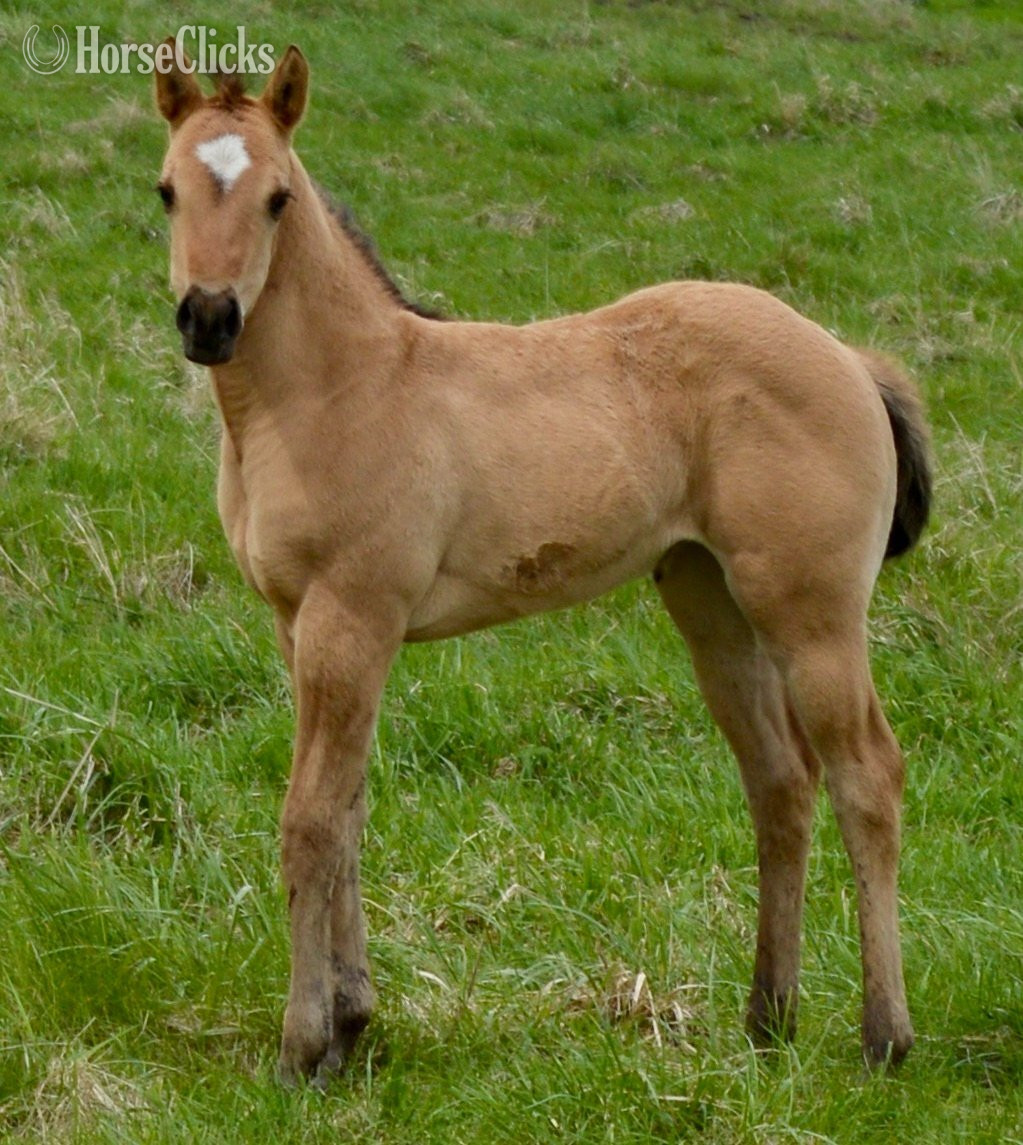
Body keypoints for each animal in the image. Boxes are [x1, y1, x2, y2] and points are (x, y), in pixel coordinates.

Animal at [153, 43, 931, 1084]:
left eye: (277, 198)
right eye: (166, 191)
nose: (208, 319)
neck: (340, 388)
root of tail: (847, 357)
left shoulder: (352, 616)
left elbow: (309, 819)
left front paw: (302, 1046)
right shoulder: (299, 624)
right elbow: (347, 808)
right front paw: (353, 1023)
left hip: (810, 610)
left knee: (865, 775)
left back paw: (883, 1035)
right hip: (709, 599)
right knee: (779, 780)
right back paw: (767, 1018)